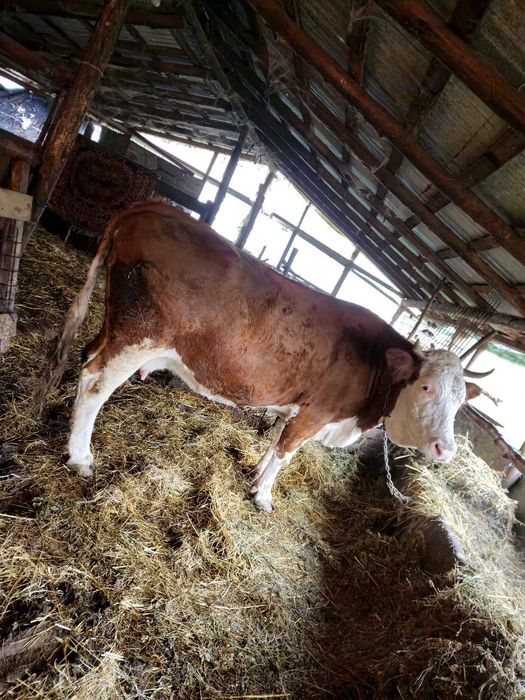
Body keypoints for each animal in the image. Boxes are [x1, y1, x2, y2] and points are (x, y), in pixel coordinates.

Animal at [55, 201, 491, 512]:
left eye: (459, 403)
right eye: (425, 387)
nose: (446, 450)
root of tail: (150, 207)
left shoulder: (294, 408)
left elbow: (273, 444)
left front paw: (253, 477)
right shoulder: (316, 413)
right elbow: (286, 454)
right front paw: (263, 496)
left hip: (115, 325)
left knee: (86, 356)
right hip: (139, 336)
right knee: (95, 383)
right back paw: (80, 456)